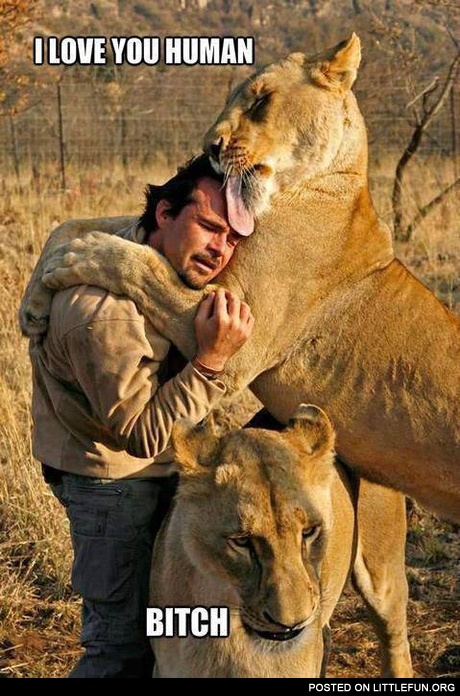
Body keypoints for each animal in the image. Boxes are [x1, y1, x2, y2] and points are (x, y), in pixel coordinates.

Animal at [20, 33, 460, 522]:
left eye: (261, 100)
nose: (210, 146)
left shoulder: (240, 337)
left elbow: (143, 263)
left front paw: (82, 255)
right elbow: (82, 224)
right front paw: (35, 300)